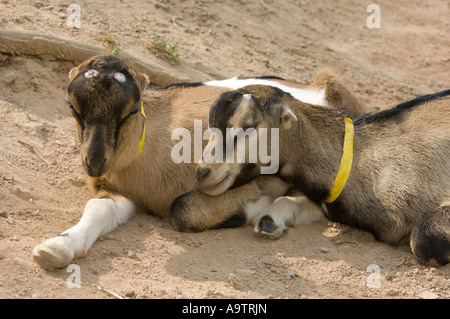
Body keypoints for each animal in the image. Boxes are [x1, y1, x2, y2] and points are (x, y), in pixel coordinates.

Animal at [33, 55, 368, 270]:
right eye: (71, 107)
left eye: (131, 110)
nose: (94, 161)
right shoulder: (121, 192)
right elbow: (97, 209)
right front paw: (56, 248)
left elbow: (182, 209)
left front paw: (260, 204)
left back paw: (273, 217)